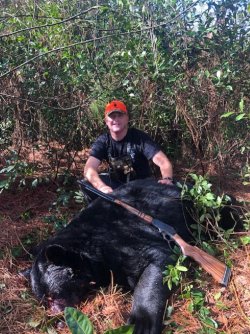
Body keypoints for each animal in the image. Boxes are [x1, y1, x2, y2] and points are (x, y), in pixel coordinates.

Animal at [25, 180, 242, 334]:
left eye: (55, 295)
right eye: (44, 301)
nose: (56, 320)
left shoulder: (130, 241)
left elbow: (156, 268)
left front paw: (141, 322)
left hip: (201, 208)